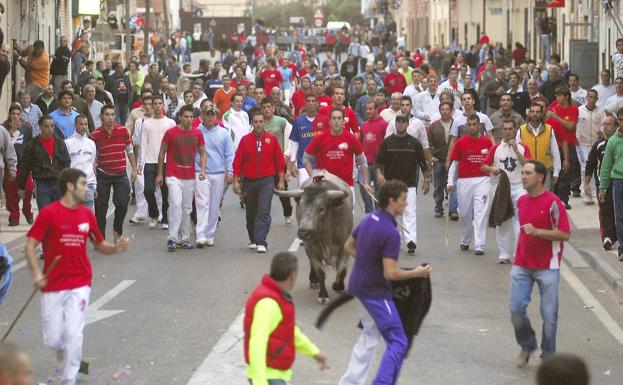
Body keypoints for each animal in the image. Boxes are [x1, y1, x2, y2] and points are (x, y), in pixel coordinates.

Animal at [276, 172, 354, 304]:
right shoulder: (311, 248)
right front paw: (323, 294)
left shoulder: (344, 247)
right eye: (300, 207)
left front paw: (338, 286)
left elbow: (342, 268)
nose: (303, 232)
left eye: (321, 208)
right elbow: (320, 272)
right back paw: (314, 280)